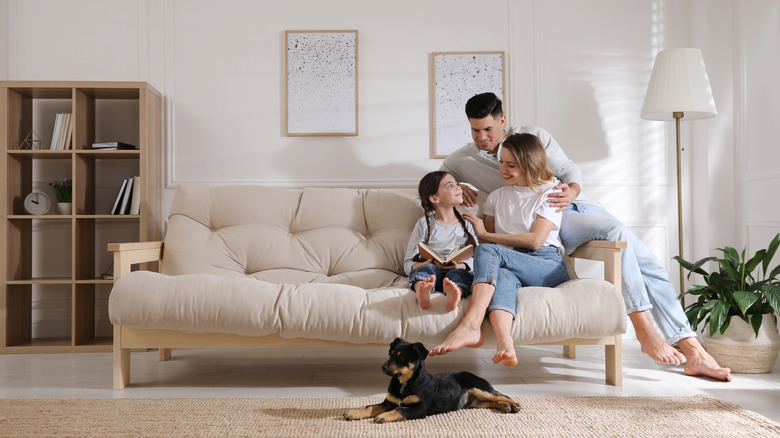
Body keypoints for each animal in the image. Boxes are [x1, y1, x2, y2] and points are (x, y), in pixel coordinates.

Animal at [344, 338, 520, 422]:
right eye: (391, 354)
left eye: (402, 357)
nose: (383, 367)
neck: (404, 382)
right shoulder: (389, 402)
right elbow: (370, 407)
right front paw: (353, 413)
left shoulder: (419, 408)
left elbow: (399, 409)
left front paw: (383, 417)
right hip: (474, 401)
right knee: (489, 402)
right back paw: (504, 407)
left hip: (480, 388)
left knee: (501, 395)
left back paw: (514, 405)